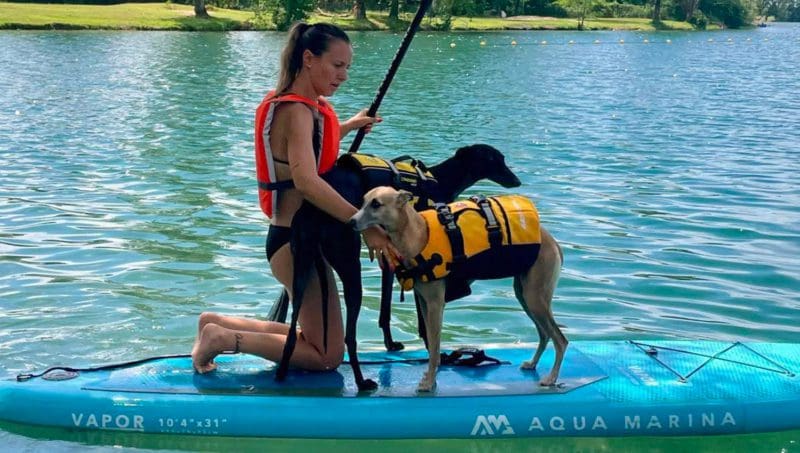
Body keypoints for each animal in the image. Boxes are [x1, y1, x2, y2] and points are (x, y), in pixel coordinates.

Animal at [274, 145, 521, 392]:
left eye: (501, 158)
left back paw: (283, 374)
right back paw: (361, 381)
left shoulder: (390, 260)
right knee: (349, 337)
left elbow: (385, 308)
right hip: (350, 267)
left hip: (301, 268)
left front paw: (390, 343)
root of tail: (311, 209)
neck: (441, 180)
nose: (517, 181)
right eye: (495, 159)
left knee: (292, 330)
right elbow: (422, 321)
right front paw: (434, 351)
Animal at [349, 187, 567, 392]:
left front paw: (429, 382)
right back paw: (533, 364)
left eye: (376, 204)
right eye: (363, 201)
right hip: (524, 295)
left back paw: (551, 378)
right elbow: (433, 348)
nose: (351, 221)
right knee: (545, 334)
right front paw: (430, 378)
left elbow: (434, 347)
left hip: (534, 298)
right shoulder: (424, 302)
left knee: (560, 339)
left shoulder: (436, 303)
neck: (418, 234)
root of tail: (552, 241)